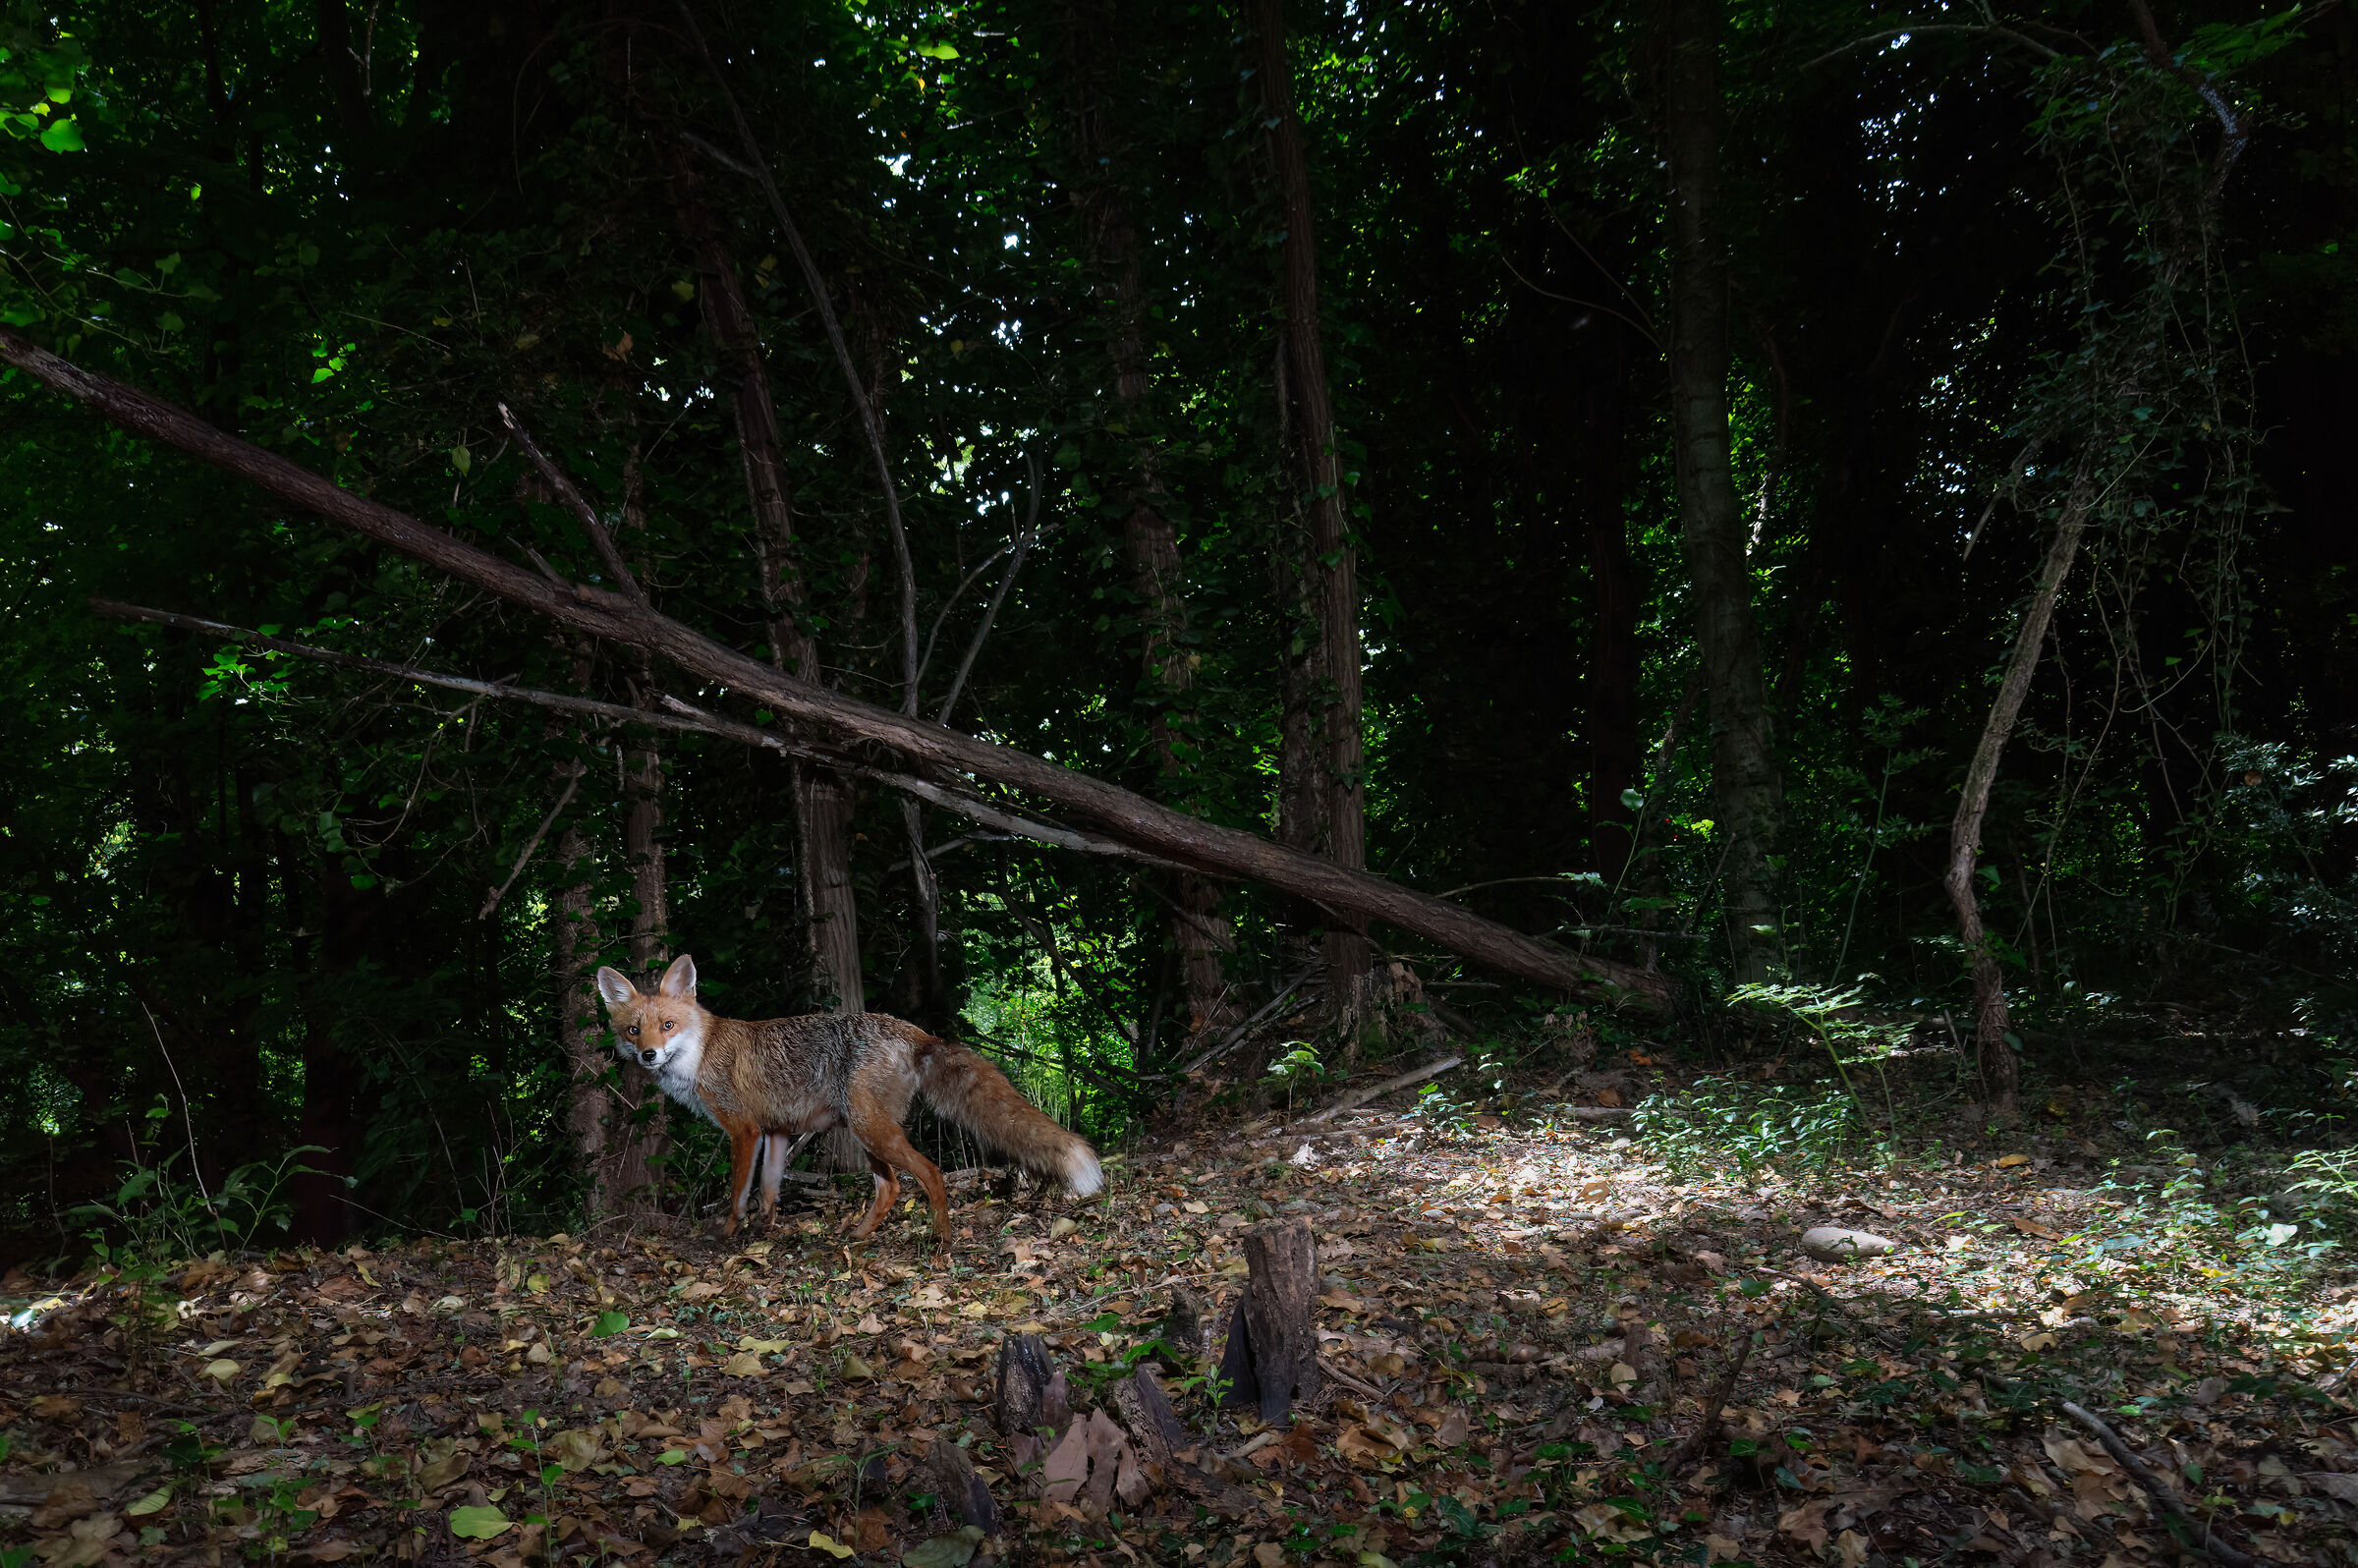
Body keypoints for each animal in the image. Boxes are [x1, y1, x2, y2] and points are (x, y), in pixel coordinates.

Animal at [595, 954, 1103, 1244]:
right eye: (633, 1029)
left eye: (667, 1026)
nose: (648, 1055)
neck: (702, 1052)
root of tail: (917, 1032)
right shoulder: (778, 1132)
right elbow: (770, 1189)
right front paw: (764, 1232)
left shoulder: (745, 1130)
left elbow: (739, 1192)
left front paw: (729, 1233)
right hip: (866, 1133)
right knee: (891, 1187)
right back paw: (858, 1236)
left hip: (869, 1128)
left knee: (930, 1173)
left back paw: (941, 1240)